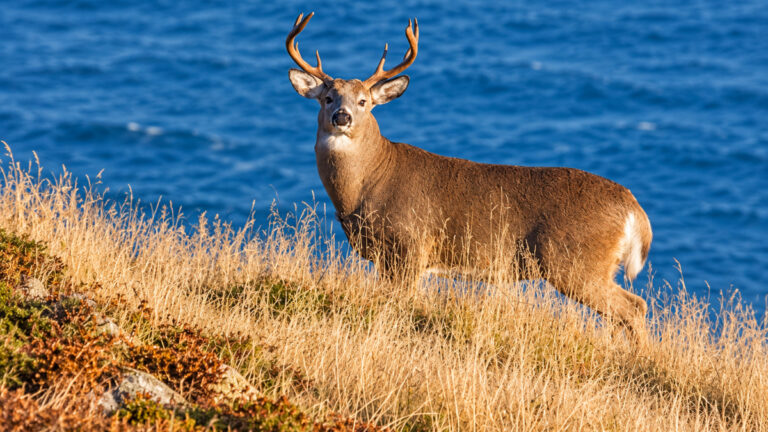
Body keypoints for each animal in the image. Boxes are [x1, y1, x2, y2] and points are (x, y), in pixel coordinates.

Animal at [286, 12, 653, 341]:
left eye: (364, 101)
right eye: (328, 97)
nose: (342, 116)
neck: (368, 184)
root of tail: (634, 209)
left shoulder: (411, 246)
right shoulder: (386, 258)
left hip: (574, 262)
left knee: (634, 307)